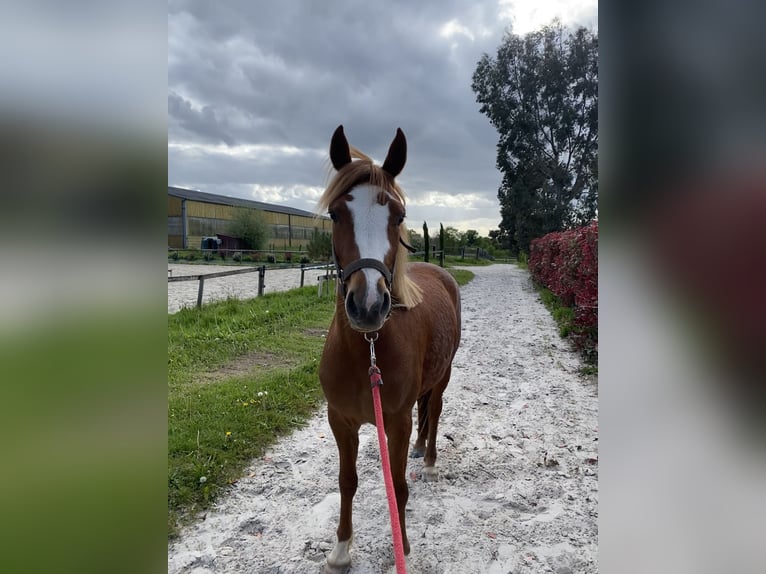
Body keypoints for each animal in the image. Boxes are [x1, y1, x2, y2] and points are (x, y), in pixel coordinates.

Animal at [318, 126, 462, 572]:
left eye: (398, 216)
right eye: (335, 214)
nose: (367, 306)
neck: (367, 351)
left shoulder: (395, 422)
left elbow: (397, 485)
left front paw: (406, 549)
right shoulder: (340, 421)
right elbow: (347, 481)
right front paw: (341, 548)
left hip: (445, 375)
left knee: (434, 410)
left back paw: (428, 461)